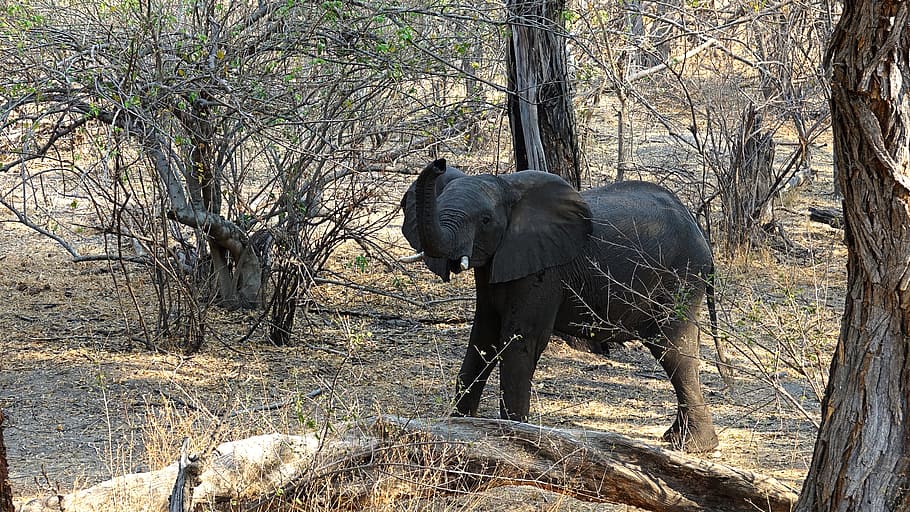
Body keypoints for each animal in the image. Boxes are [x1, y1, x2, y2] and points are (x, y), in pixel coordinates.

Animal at [400, 159, 721, 452]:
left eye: (486, 220)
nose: (439, 164)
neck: (507, 187)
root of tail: (699, 228)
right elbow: (483, 340)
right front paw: (459, 426)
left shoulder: (545, 271)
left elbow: (520, 342)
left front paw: (515, 439)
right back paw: (677, 439)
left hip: (682, 276)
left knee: (672, 348)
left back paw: (692, 446)